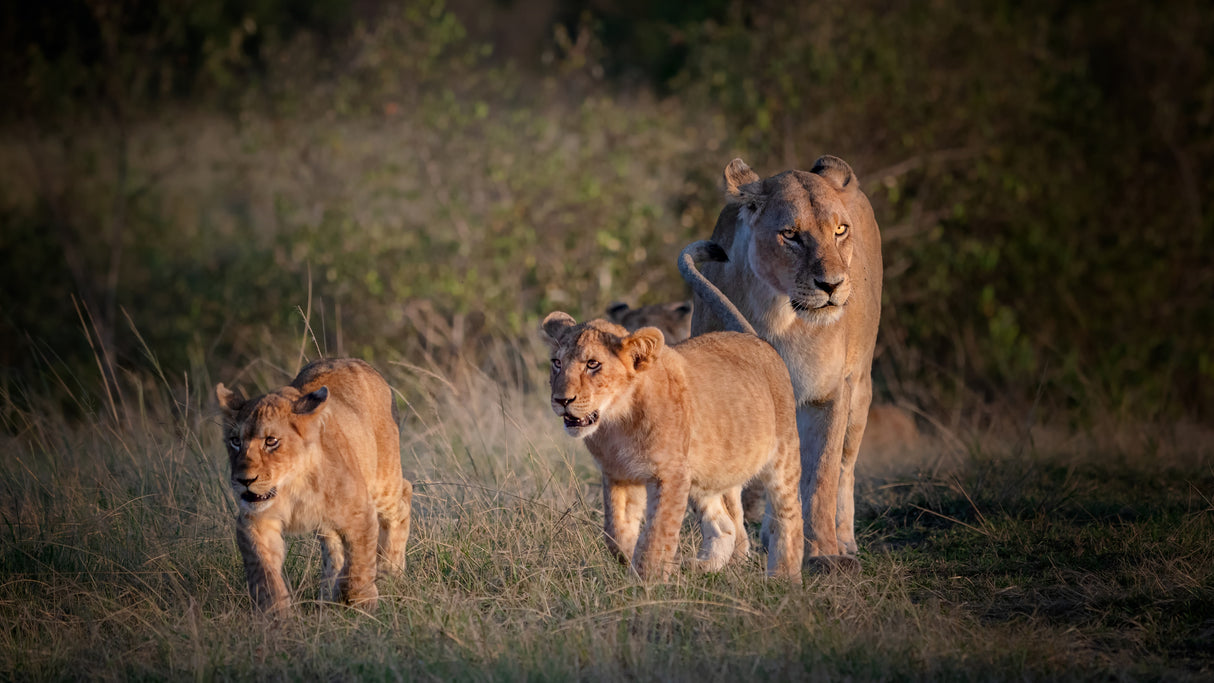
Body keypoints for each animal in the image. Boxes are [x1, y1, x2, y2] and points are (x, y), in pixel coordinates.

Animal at [215, 358, 412, 612]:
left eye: (271, 441)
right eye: (235, 441)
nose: (244, 480)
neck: (292, 487)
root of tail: (352, 360)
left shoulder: (361, 512)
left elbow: (358, 563)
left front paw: (360, 602)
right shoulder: (256, 521)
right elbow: (264, 571)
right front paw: (275, 614)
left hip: (383, 480)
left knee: (403, 498)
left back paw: (390, 573)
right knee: (333, 548)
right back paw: (327, 593)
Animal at [540, 311, 803, 582]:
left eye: (593, 364)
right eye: (557, 363)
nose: (561, 400)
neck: (617, 422)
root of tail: (760, 340)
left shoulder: (670, 473)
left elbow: (657, 532)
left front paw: (646, 582)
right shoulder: (619, 474)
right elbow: (616, 532)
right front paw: (636, 562)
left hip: (783, 455)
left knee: (789, 516)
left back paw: (784, 578)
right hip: (703, 475)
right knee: (725, 524)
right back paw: (698, 566)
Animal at [679, 155, 882, 571]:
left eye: (840, 230)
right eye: (790, 234)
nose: (832, 285)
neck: (777, 315)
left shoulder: (829, 394)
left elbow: (821, 476)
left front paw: (823, 553)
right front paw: (736, 552)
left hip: (860, 390)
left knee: (844, 468)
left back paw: (844, 541)